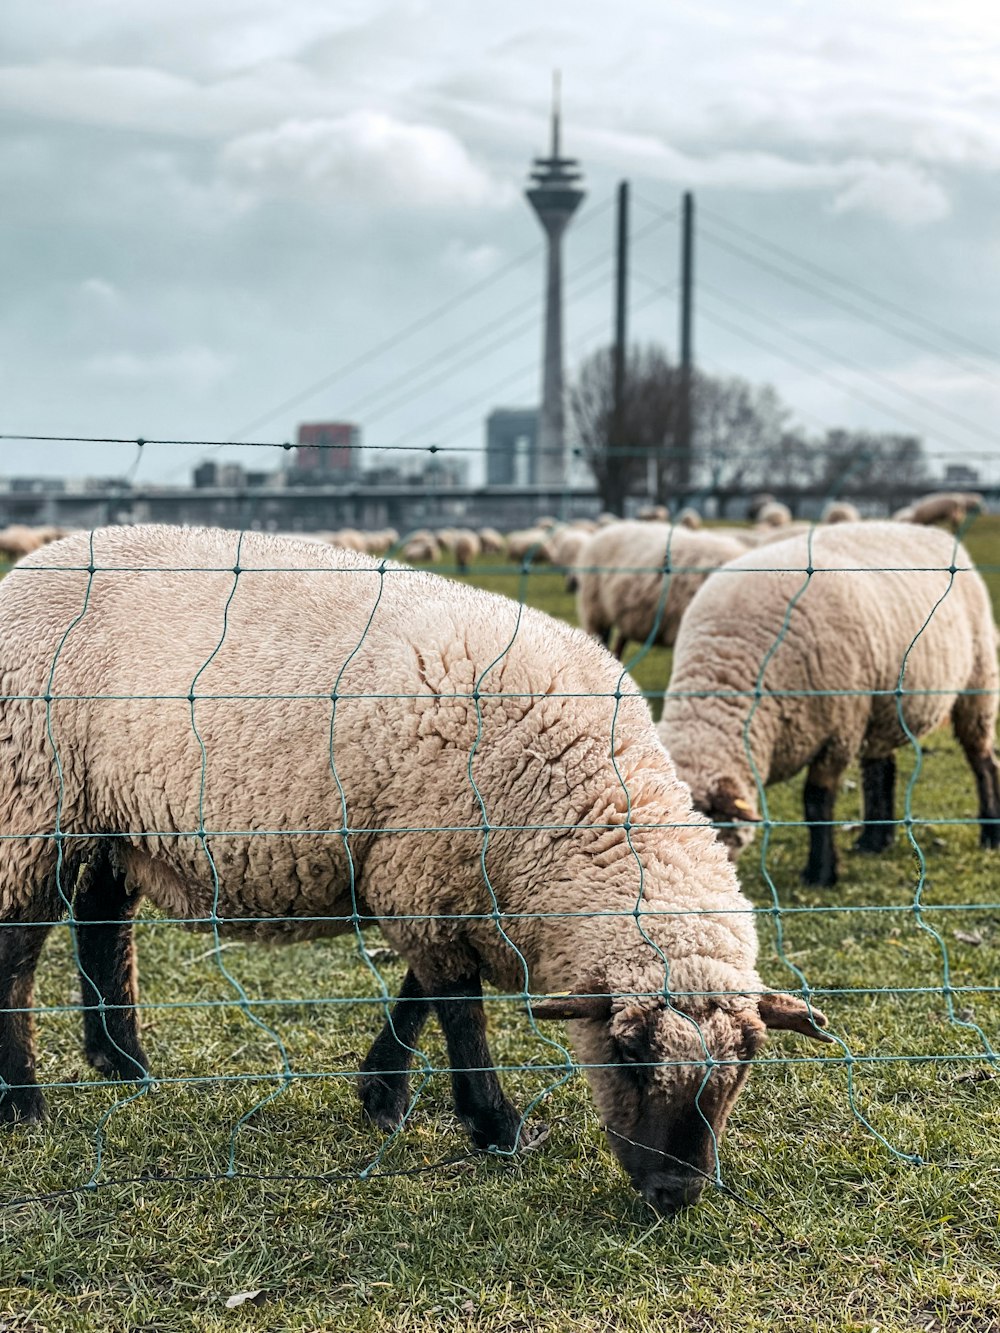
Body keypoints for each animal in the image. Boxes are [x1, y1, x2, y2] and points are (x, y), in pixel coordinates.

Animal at [658, 519, 1000, 885]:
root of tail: (926, 529)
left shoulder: (837, 733)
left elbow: (816, 802)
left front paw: (820, 873)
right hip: (880, 704)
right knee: (881, 768)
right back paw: (874, 841)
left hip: (976, 684)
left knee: (982, 760)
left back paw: (989, 833)